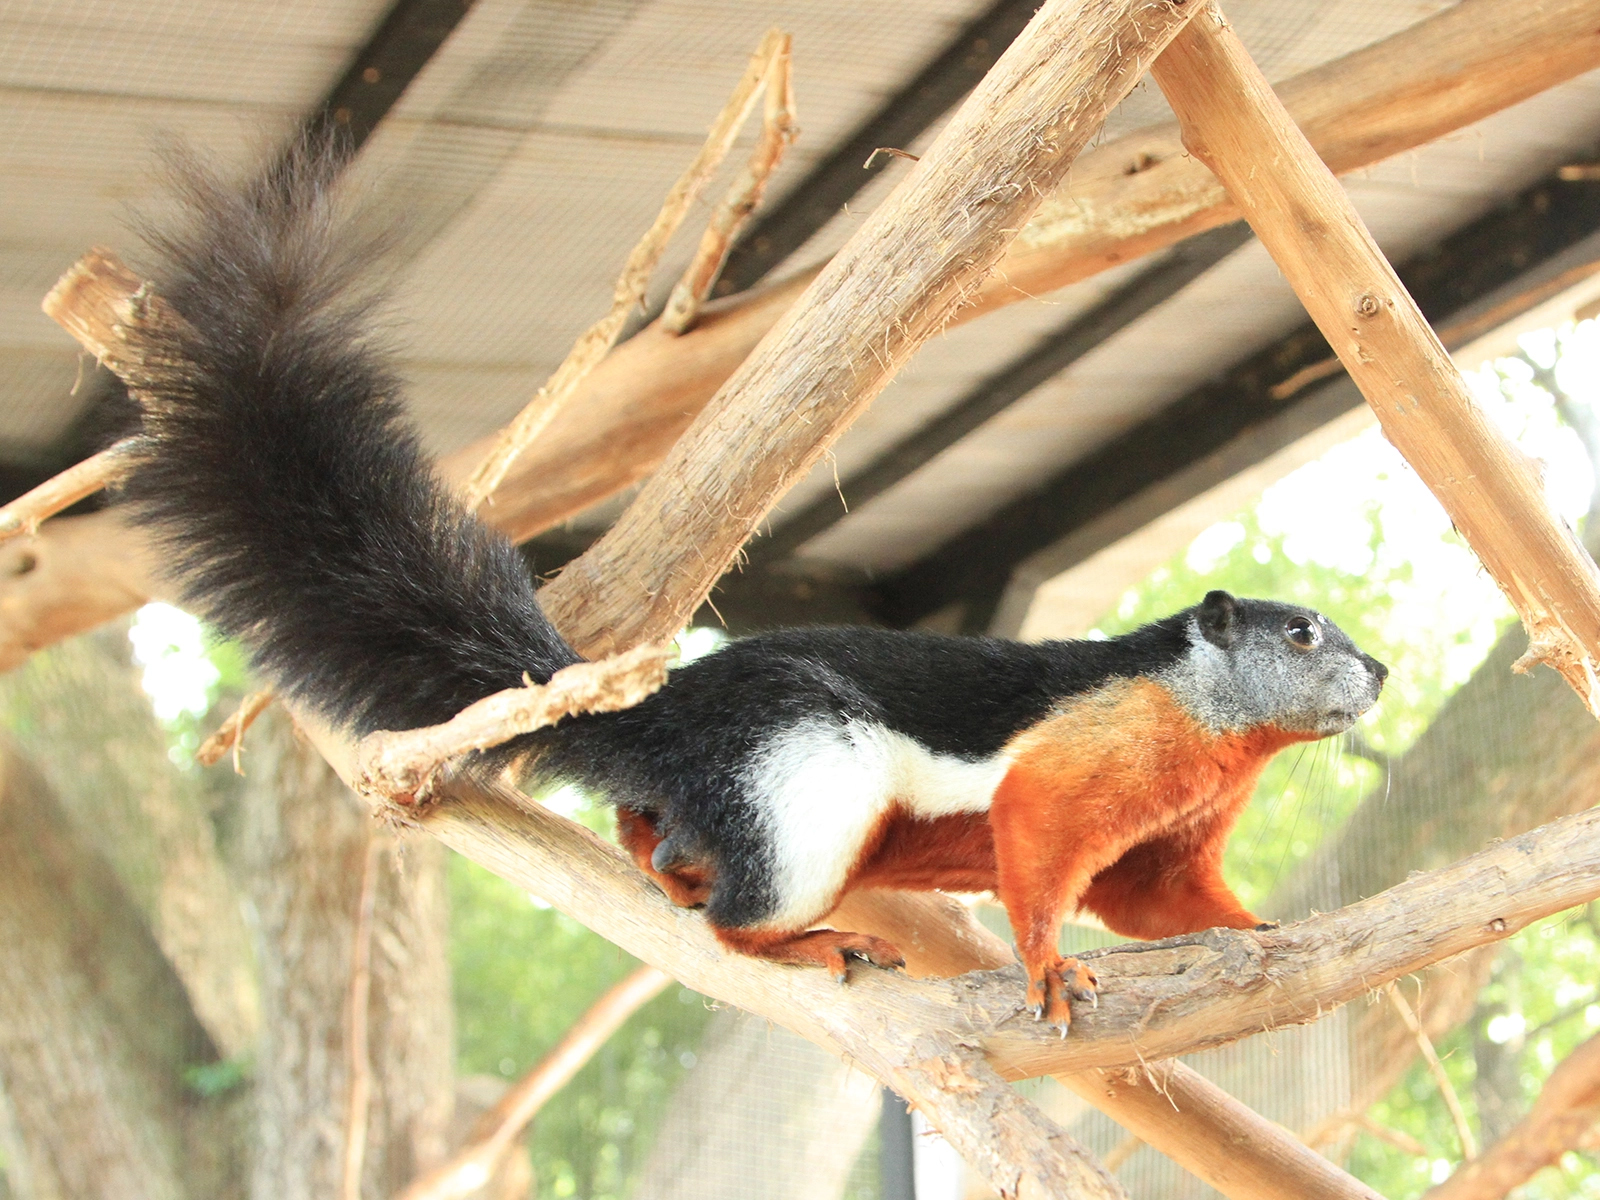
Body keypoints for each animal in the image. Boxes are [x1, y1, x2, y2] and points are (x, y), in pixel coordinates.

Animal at [114, 147, 1387, 1028]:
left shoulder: (1164, 844)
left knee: (664, 837)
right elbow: (1038, 853)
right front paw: (1046, 967)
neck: (1213, 734)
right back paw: (802, 942)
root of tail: (667, 719)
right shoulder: (1081, 763)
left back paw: (655, 857)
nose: (1378, 669)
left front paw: (1266, 928)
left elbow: (1162, 903)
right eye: (1300, 632)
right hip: (804, 790)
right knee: (736, 920)